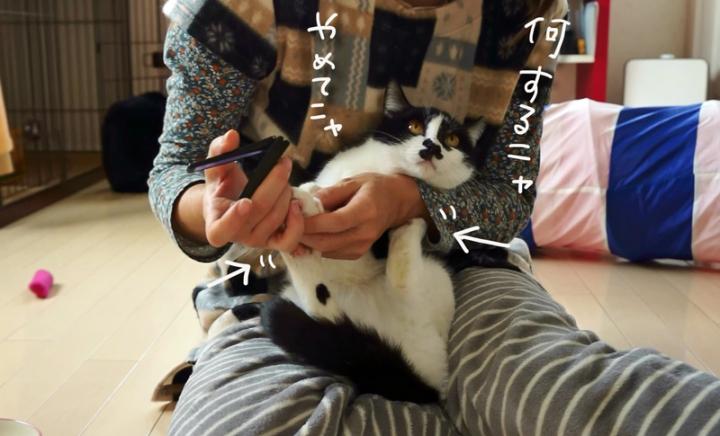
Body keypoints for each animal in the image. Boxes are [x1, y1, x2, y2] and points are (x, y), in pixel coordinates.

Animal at [255, 82, 487, 404]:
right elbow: (324, 186)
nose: (432, 147)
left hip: (434, 282)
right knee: (320, 305)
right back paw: (299, 223)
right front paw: (311, 192)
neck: (384, 167)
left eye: (451, 139)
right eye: (414, 126)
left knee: (401, 281)